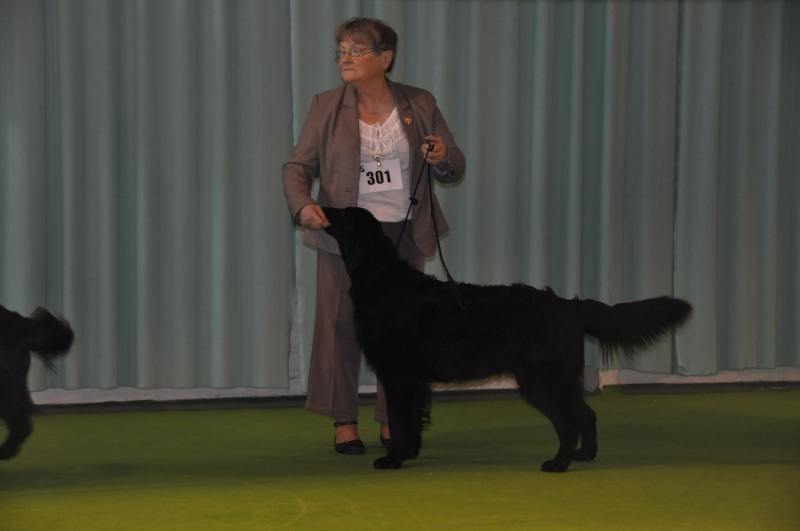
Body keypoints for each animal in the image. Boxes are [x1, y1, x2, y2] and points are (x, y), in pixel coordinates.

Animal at [322, 206, 692, 472]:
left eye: (342, 213)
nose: (322, 204)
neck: (382, 278)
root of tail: (568, 304)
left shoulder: (399, 375)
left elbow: (399, 422)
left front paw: (393, 458)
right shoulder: (413, 380)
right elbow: (412, 421)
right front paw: (409, 453)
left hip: (541, 380)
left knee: (570, 425)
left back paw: (558, 463)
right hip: (558, 379)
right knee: (587, 415)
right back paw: (584, 456)